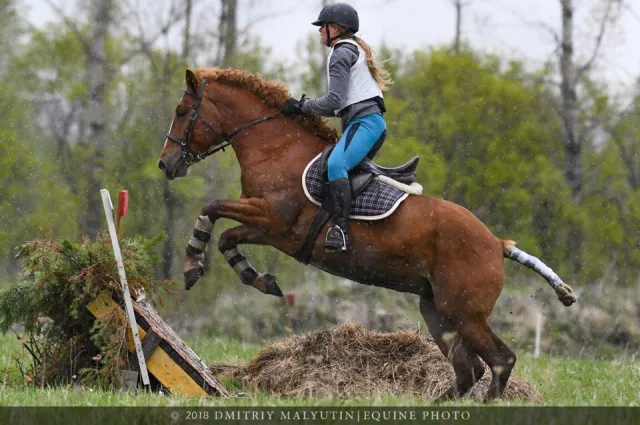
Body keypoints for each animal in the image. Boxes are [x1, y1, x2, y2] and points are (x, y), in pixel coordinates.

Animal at [158, 68, 576, 402]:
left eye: (181, 113)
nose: (165, 164)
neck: (277, 146)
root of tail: (495, 243)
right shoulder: (275, 231)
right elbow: (227, 238)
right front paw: (256, 278)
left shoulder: (272, 218)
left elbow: (212, 207)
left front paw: (192, 263)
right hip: (437, 311)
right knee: (468, 369)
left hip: (465, 313)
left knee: (500, 361)